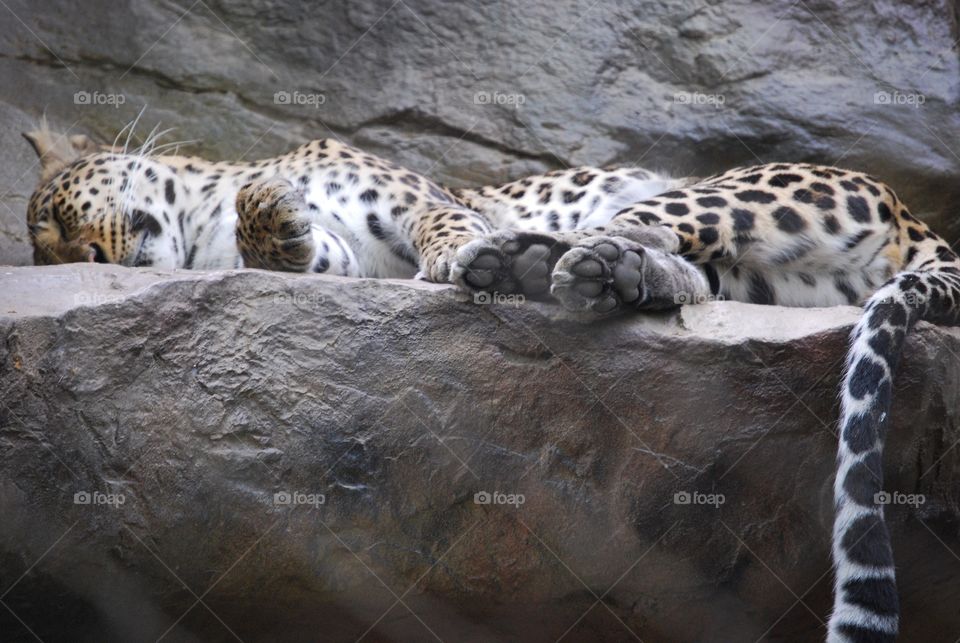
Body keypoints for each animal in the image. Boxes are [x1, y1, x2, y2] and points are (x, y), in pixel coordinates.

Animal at [24, 126, 960, 642]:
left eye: (59, 220)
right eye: (53, 247)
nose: (98, 259)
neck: (199, 228)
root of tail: (918, 222)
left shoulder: (405, 196)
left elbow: (433, 215)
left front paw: (438, 249)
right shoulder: (339, 263)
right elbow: (291, 236)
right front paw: (275, 213)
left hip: (730, 190)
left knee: (641, 223)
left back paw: (526, 259)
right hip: (759, 278)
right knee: (680, 277)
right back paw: (577, 272)